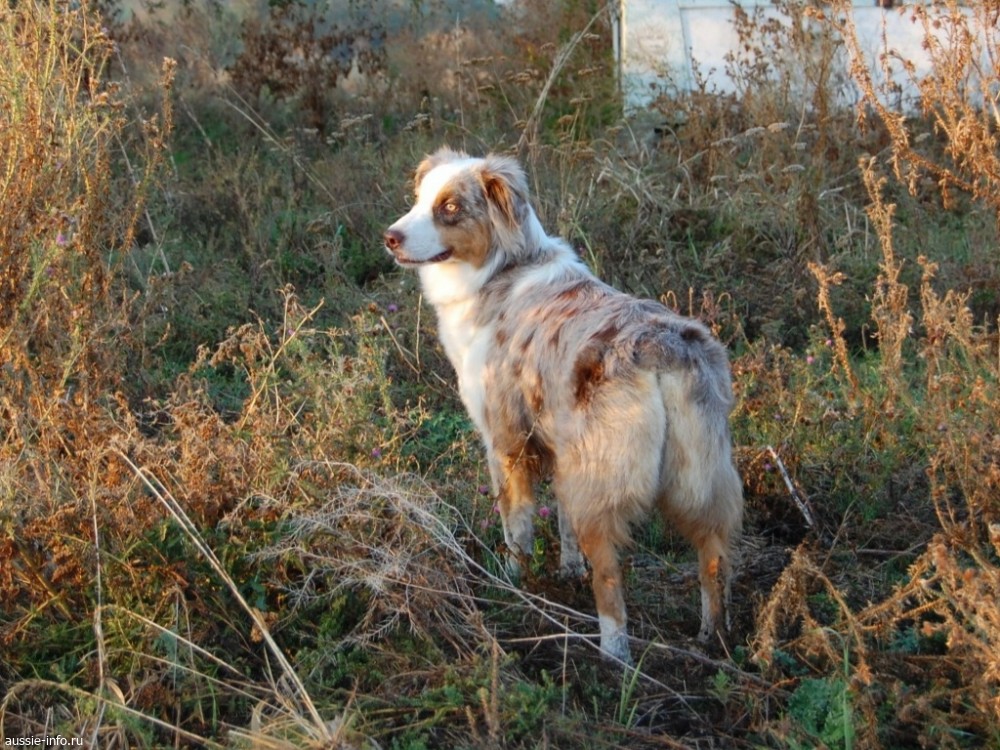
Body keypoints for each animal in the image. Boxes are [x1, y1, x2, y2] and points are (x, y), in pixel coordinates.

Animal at [383, 147, 743, 663]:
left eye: (450, 207)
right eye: (419, 198)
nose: (389, 238)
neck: (502, 267)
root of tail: (661, 350)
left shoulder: (506, 442)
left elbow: (518, 527)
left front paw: (514, 583)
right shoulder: (561, 446)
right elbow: (564, 521)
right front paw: (568, 571)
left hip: (606, 484)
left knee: (610, 579)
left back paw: (613, 655)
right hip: (700, 478)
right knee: (713, 557)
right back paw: (713, 638)